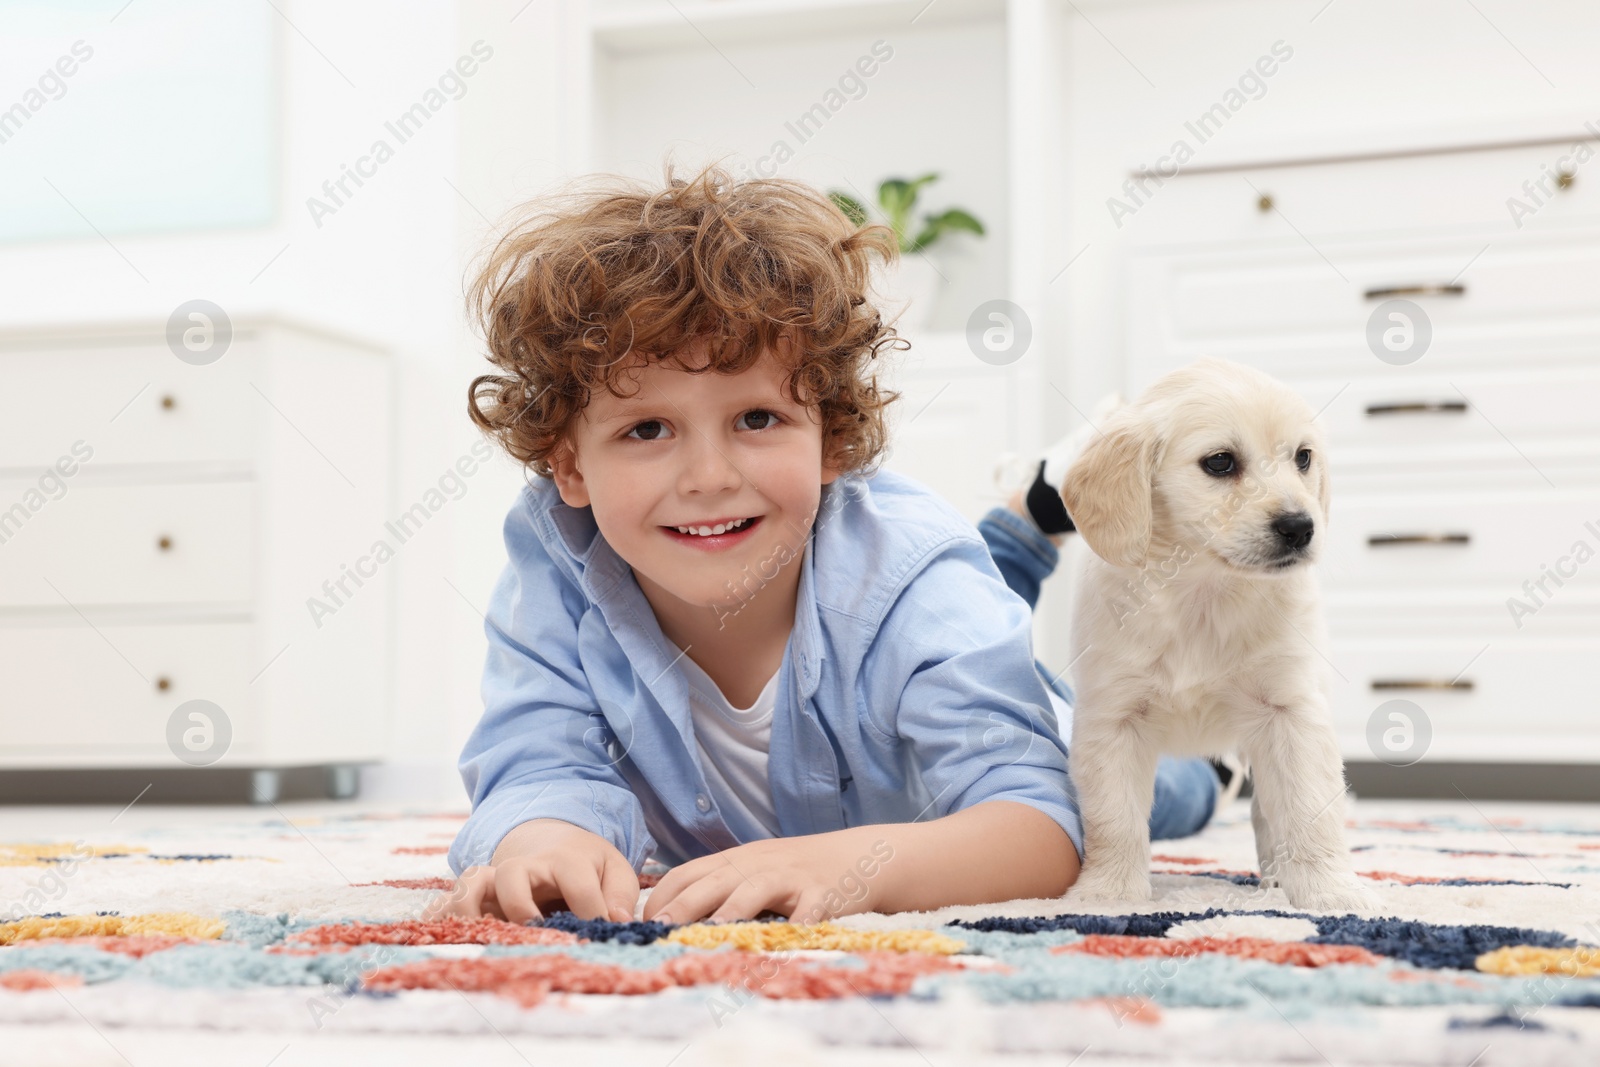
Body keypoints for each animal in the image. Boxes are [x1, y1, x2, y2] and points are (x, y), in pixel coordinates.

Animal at [1056, 358, 1369, 908]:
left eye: (1303, 457)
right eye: (1221, 462)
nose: (1300, 527)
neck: (1205, 594)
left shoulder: (1292, 713)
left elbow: (1311, 811)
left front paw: (1331, 892)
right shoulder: (1112, 718)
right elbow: (1114, 819)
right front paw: (1109, 893)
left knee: (1267, 812)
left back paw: (1277, 877)